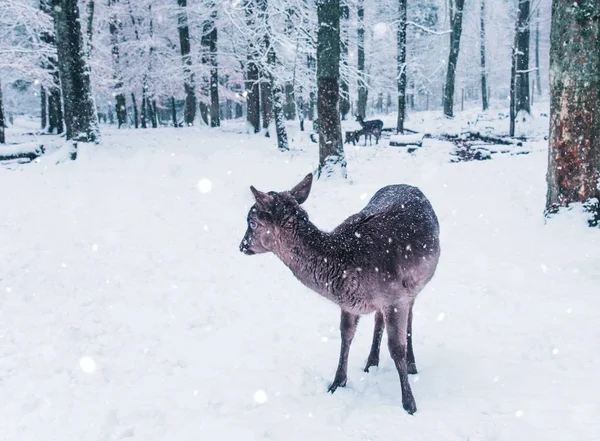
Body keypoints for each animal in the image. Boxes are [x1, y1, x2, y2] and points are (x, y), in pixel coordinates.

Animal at [239, 173, 440, 412]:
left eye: (252, 222)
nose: (242, 245)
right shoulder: (349, 303)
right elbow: (346, 336)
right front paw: (337, 383)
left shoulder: (395, 297)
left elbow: (396, 348)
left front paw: (409, 403)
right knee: (378, 320)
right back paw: (371, 362)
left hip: (414, 286)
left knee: (409, 316)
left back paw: (411, 364)